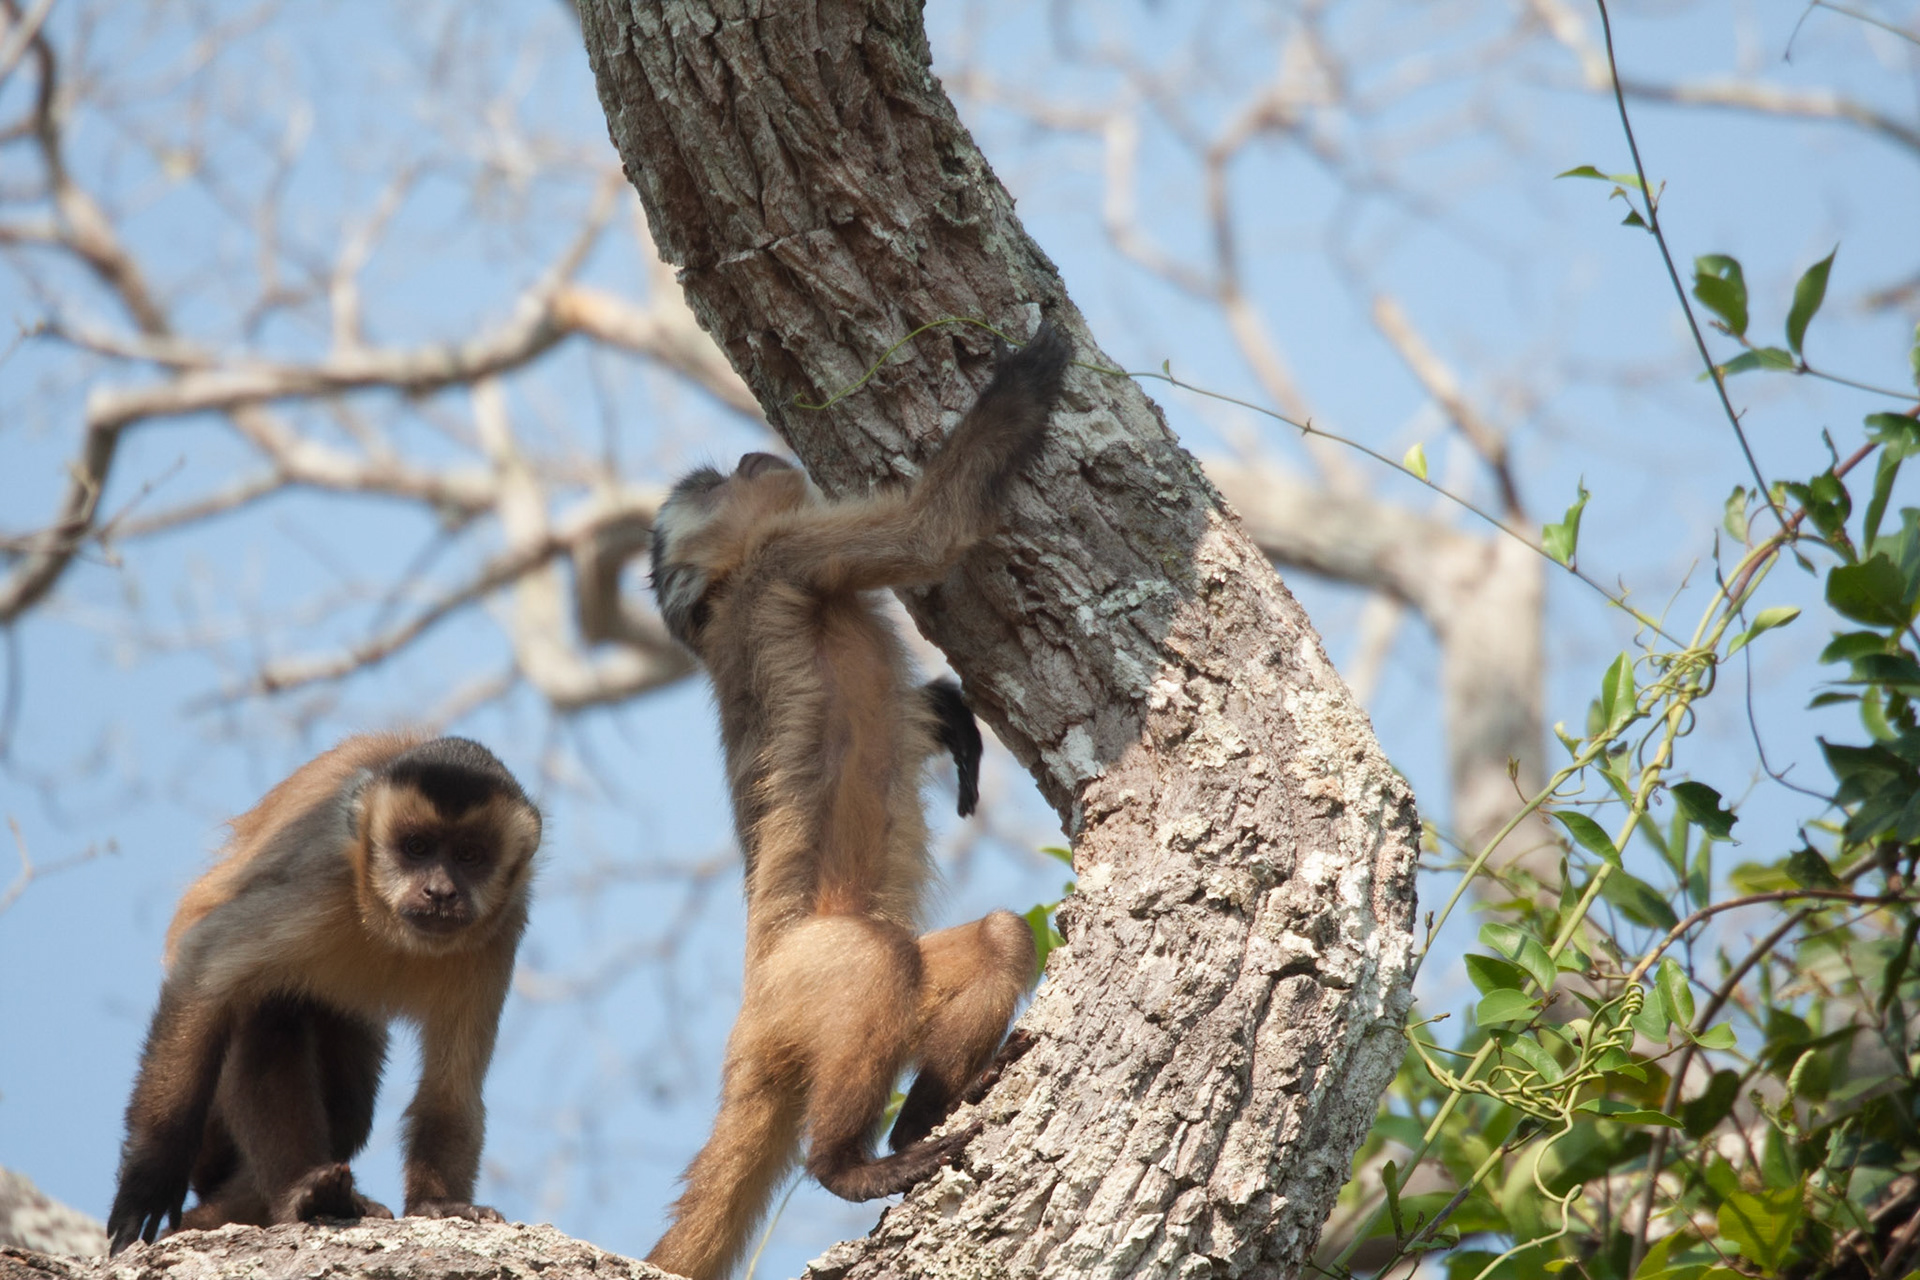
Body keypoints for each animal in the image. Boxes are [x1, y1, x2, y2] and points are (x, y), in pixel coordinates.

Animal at [105, 734, 541, 1255]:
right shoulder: (324, 882)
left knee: (349, 1105)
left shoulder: (500, 930)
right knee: (267, 1010)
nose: (440, 892)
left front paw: (438, 1203)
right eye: (416, 848)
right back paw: (300, 1198)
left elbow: (452, 1090)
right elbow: (203, 969)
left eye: (470, 856)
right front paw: (149, 1177)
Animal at [642, 320, 1069, 1280]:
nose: (749, 454)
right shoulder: (789, 555)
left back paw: (924, 1118)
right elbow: (930, 530)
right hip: (804, 978)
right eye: (712, 486)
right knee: (876, 961)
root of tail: (749, 1032)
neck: (728, 595)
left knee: (992, 939)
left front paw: (949, 719)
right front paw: (1022, 385)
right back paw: (849, 1165)